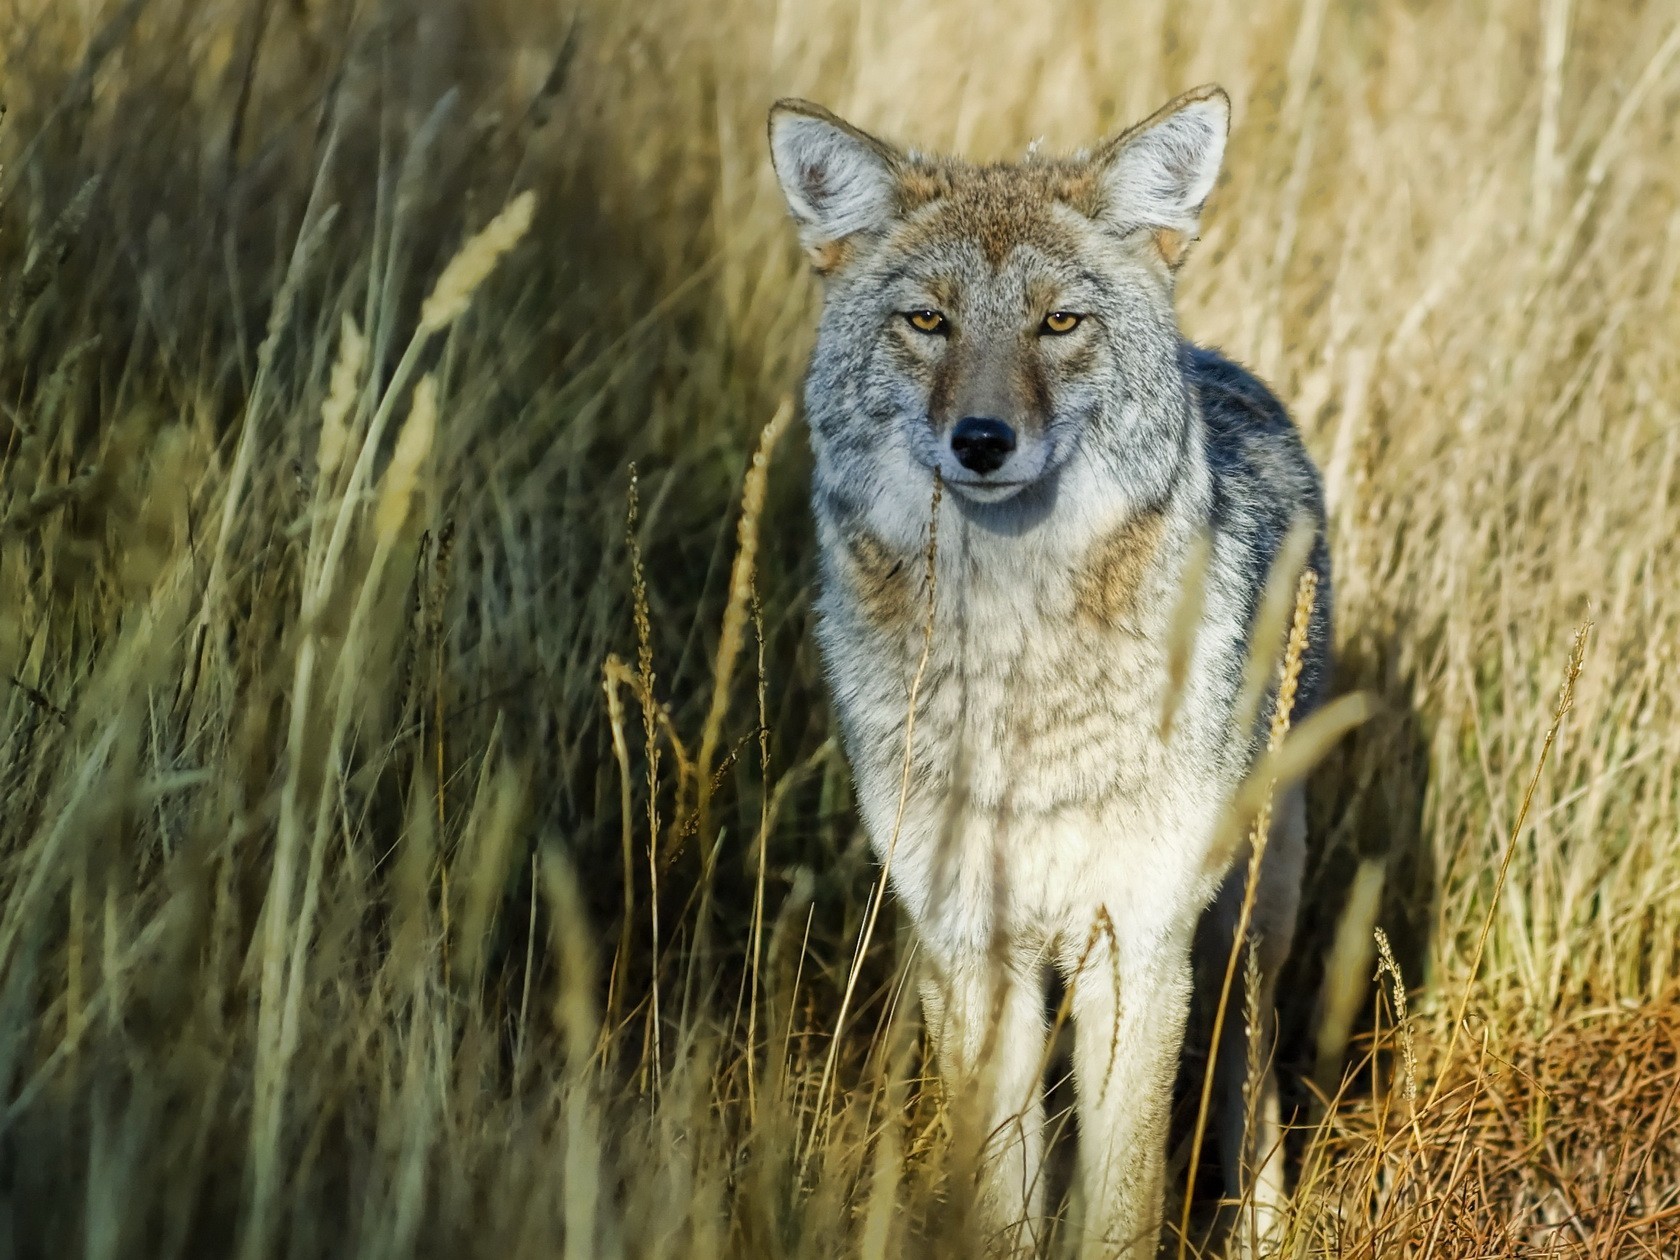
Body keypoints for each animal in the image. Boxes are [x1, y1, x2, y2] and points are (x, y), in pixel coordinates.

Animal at [768, 85, 1333, 1257]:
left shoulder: (1140, 949)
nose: (983, 441)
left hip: (1244, 933)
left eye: (1058, 323)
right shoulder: (972, 950)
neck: (1017, 669)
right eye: (929, 321)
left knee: (1250, 1099)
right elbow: (1005, 1197)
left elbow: (1121, 1204)